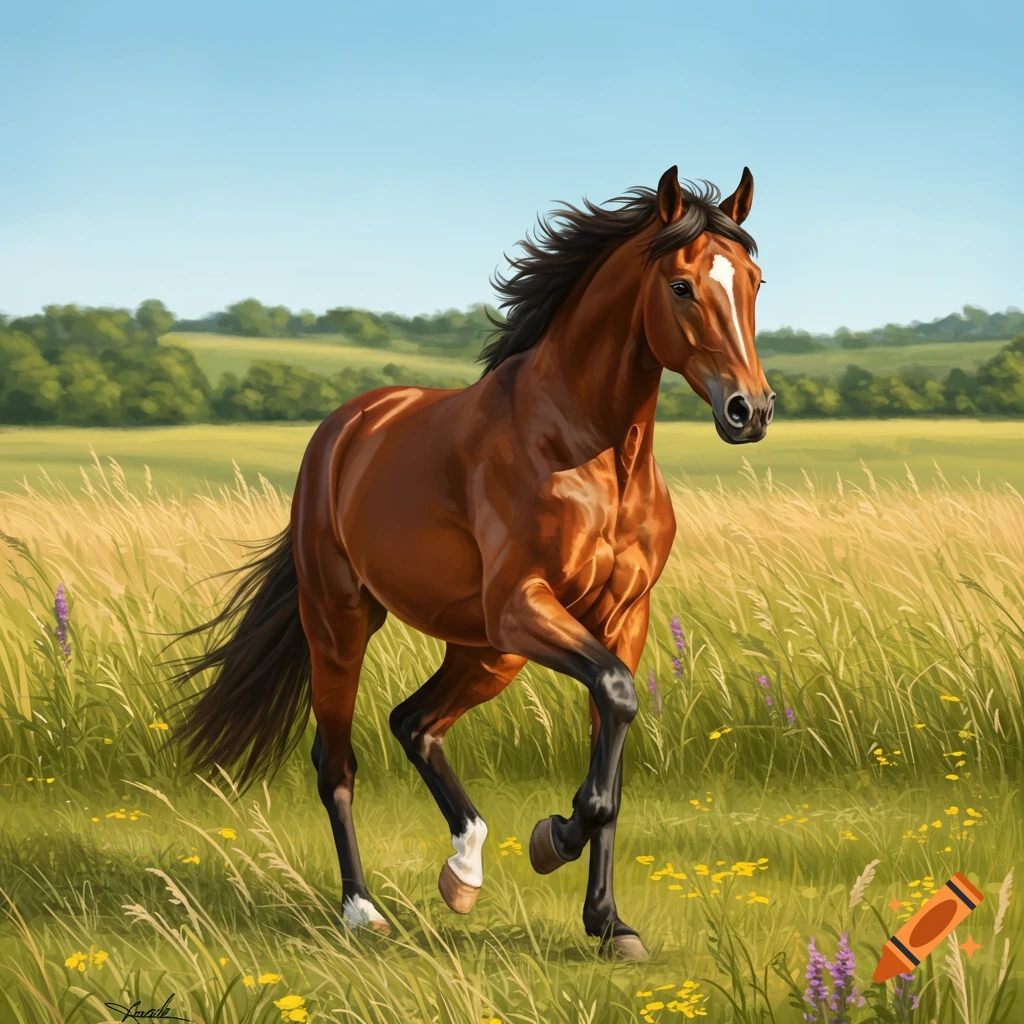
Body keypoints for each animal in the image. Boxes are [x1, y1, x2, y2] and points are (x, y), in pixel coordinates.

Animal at [169, 165, 773, 962]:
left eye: (756, 281)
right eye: (680, 285)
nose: (749, 411)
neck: (591, 450)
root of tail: (346, 426)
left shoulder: (623, 618)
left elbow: (612, 753)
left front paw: (610, 925)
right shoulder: (523, 605)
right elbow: (615, 702)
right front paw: (552, 840)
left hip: (486, 651)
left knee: (415, 722)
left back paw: (463, 872)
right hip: (347, 623)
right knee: (338, 762)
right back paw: (363, 910)